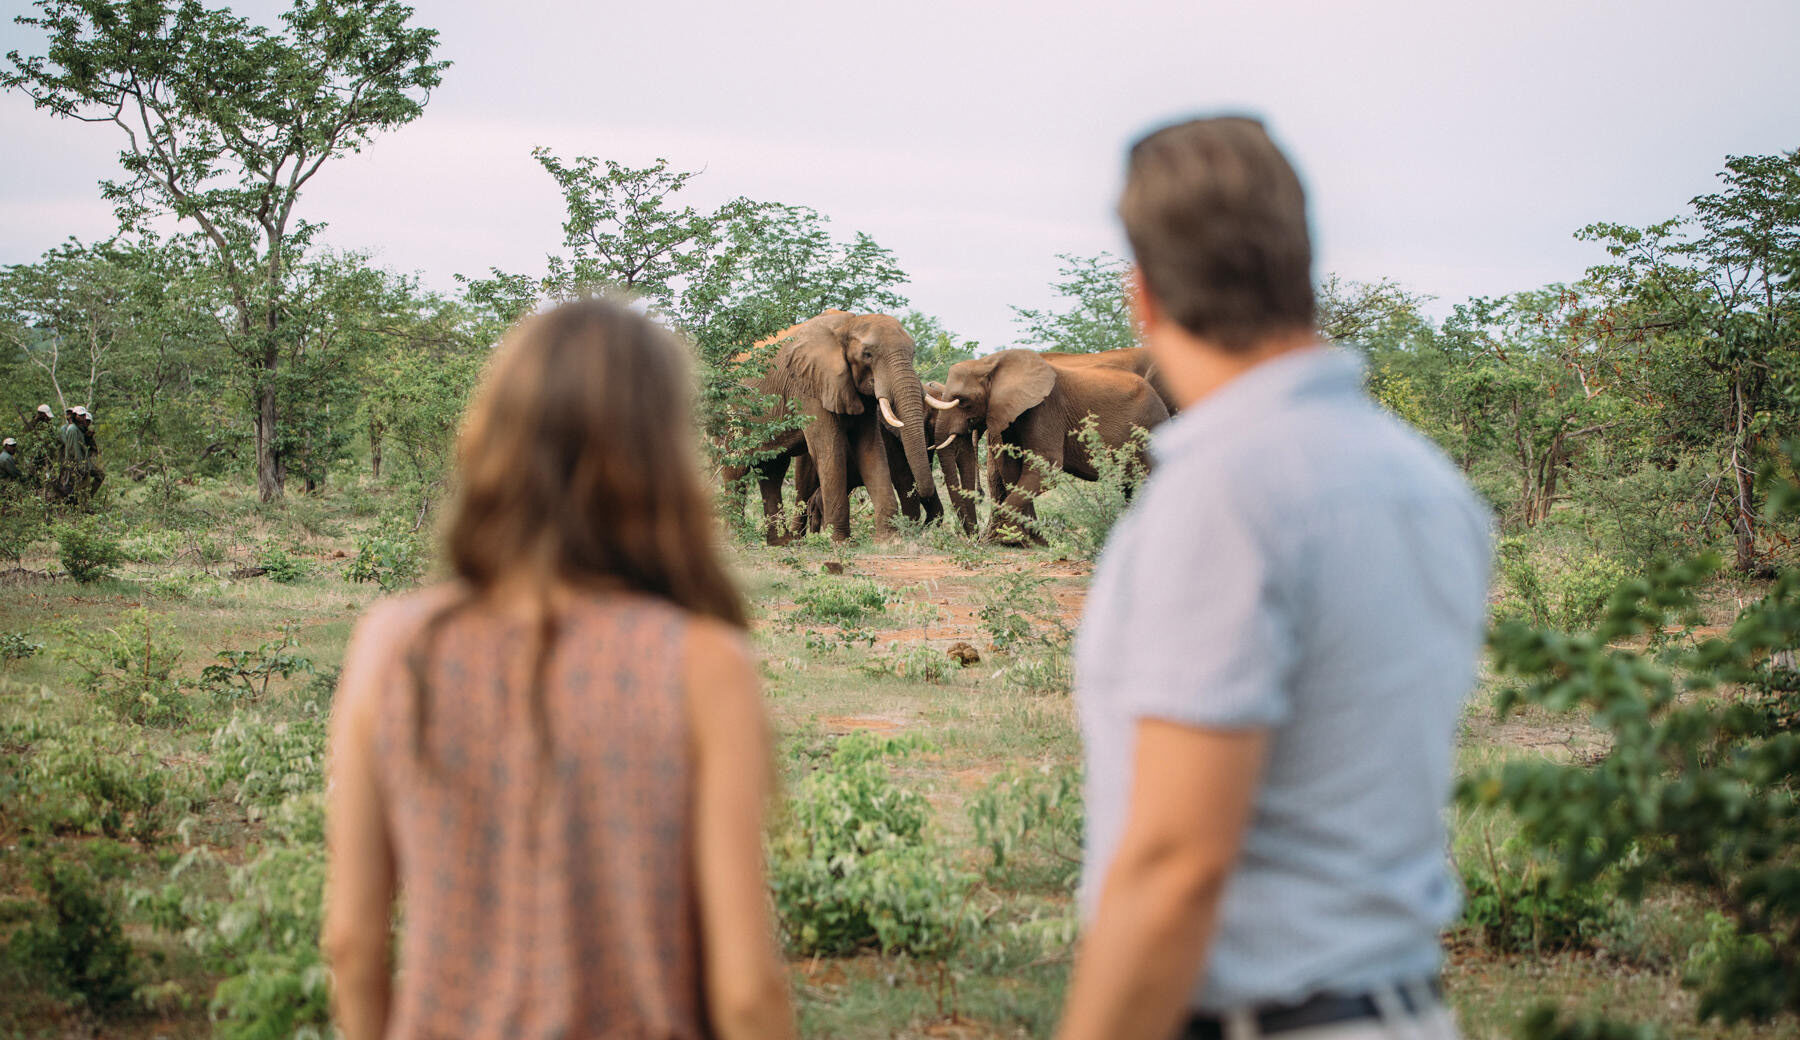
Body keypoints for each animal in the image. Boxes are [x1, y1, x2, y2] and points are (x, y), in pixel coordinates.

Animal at [723, 310, 943, 543]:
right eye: (867, 355)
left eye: (913, 353)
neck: (848, 324)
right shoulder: (810, 387)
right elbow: (828, 449)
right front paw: (839, 541)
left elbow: (871, 450)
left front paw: (888, 540)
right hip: (732, 413)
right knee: (736, 467)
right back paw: (737, 538)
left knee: (773, 470)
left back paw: (781, 543)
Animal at [929, 349, 1169, 543]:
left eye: (962, 401)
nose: (974, 539)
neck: (990, 362)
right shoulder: (1011, 414)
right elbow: (1013, 471)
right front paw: (1033, 541)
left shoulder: (1045, 409)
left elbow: (1045, 468)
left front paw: (1009, 540)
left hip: (1150, 426)